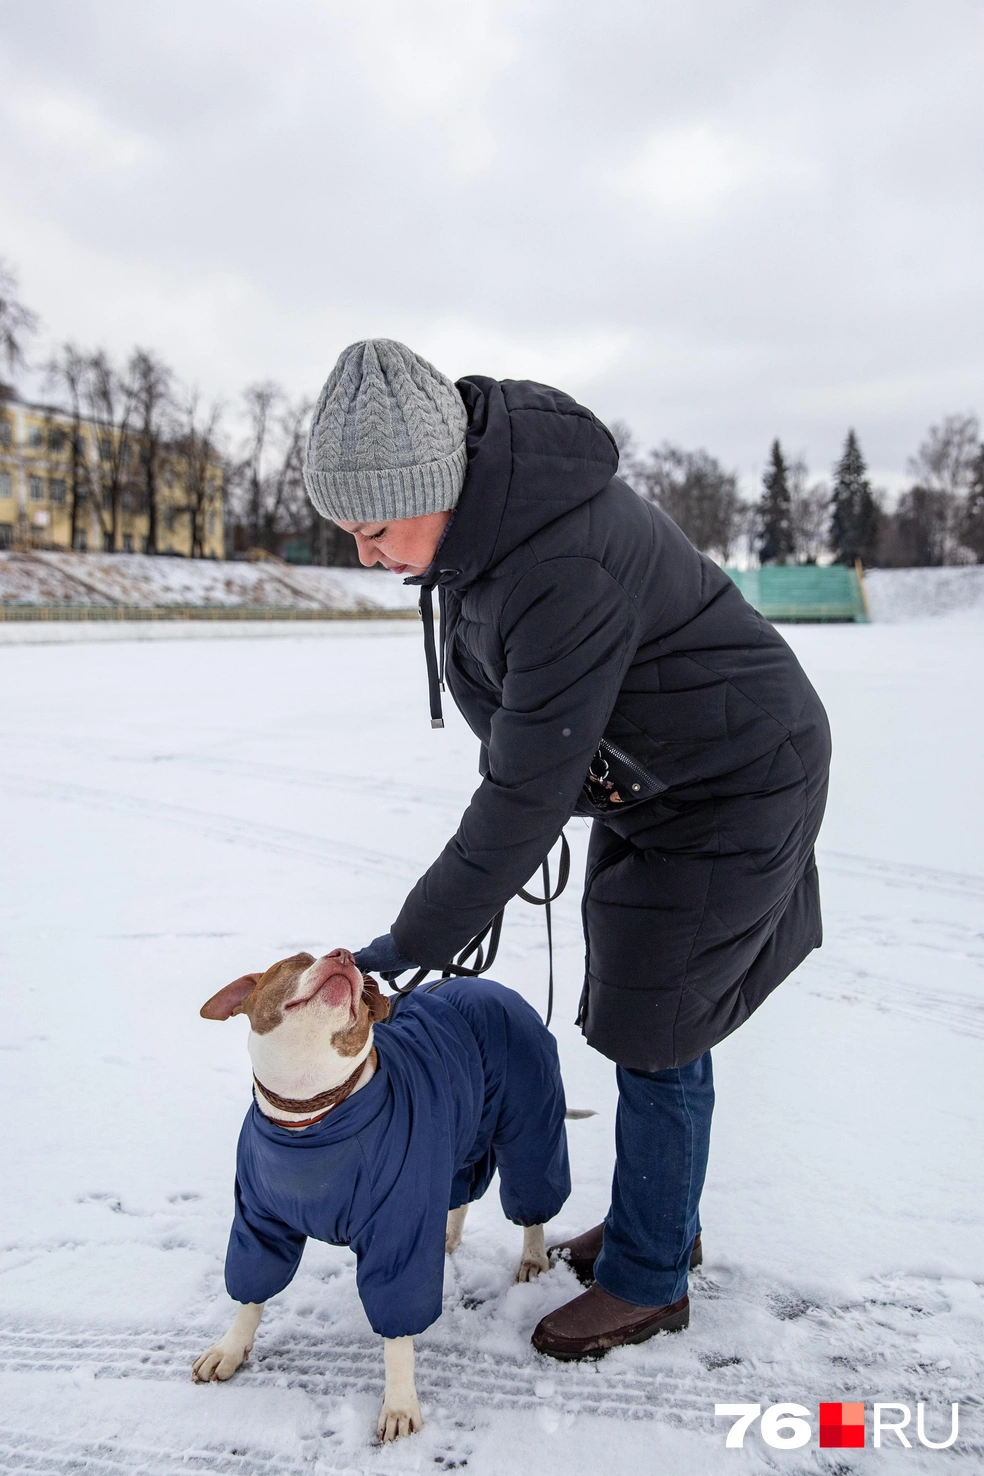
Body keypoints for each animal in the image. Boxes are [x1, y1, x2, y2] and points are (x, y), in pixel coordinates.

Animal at [191, 944, 569, 1440]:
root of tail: (486, 985)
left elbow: (398, 1328)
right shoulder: (259, 1221)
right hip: (460, 1128)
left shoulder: (399, 1227)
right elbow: (252, 1289)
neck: (311, 1118)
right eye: (297, 959)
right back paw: (447, 1236)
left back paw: (532, 1256)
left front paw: (400, 1404)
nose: (344, 956)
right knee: (461, 1190)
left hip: (529, 1117)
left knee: (534, 1189)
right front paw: (230, 1349)